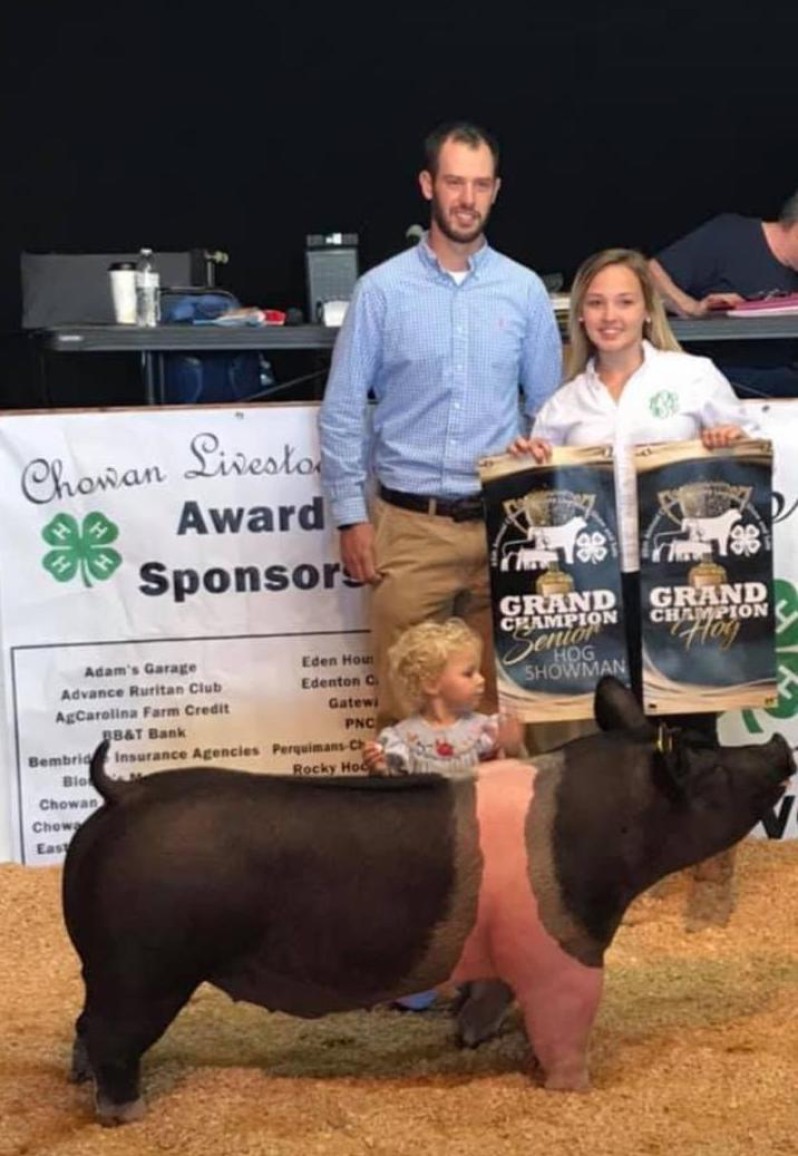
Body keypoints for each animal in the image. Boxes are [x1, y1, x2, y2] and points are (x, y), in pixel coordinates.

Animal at [65, 675, 791, 1123]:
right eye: (708, 765)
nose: (780, 745)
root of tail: (120, 794)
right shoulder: (565, 949)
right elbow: (568, 1024)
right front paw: (572, 1090)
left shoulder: (510, 949)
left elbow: (493, 994)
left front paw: (466, 1038)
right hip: (145, 967)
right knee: (110, 1035)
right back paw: (123, 1113)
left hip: (106, 966)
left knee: (82, 1024)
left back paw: (80, 1085)